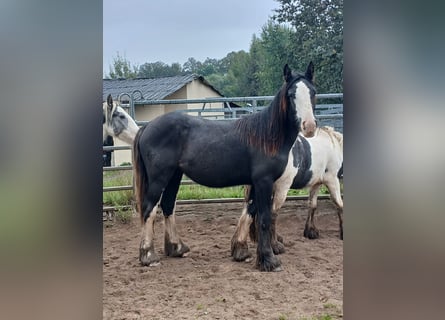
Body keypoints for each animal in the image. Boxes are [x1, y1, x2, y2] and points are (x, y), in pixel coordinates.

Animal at [132, 63, 316, 272]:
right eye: (291, 94)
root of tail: (147, 127)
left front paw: (241, 251)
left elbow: (250, 212)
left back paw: (177, 248)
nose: (309, 126)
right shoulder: (264, 181)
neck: (267, 137)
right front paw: (269, 260)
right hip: (159, 178)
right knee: (149, 209)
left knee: (168, 206)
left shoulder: (256, 183)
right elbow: (263, 218)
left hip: (174, 176)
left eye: (313, 92)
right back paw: (148, 256)